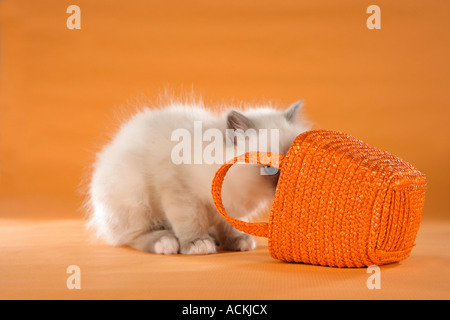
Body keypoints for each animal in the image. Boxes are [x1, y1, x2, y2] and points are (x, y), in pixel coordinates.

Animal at [86, 100, 308, 255]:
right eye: (270, 168)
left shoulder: (229, 208)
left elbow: (229, 227)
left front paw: (237, 241)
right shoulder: (180, 191)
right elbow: (190, 222)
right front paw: (197, 244)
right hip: (136, 200)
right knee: (132, 237)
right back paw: (166, 242)